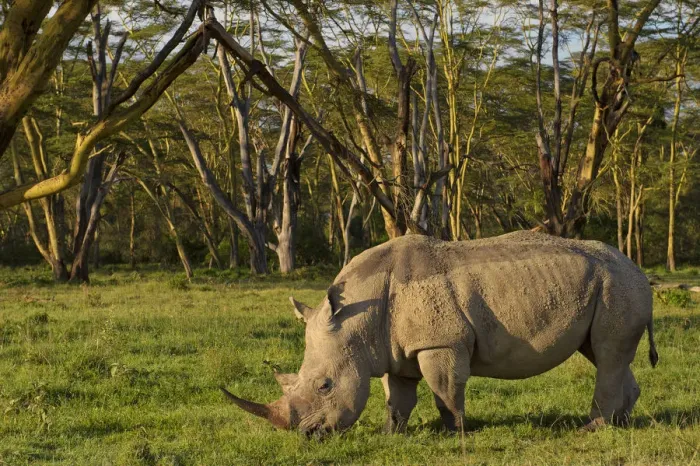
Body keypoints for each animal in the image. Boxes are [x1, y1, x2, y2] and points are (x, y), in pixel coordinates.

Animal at [222, 231, 657, 436]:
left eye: (325, 385)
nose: (308, 435)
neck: (357, 320)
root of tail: (636, 266)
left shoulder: (439, 341)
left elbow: (444, 389)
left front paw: (455, 431)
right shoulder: (393, 350)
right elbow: (396, 396)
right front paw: (390, 434)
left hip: (618, 285)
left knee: (608, 353)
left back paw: (592, 427)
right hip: (609, 284)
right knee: (603, 353)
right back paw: (621, 422)